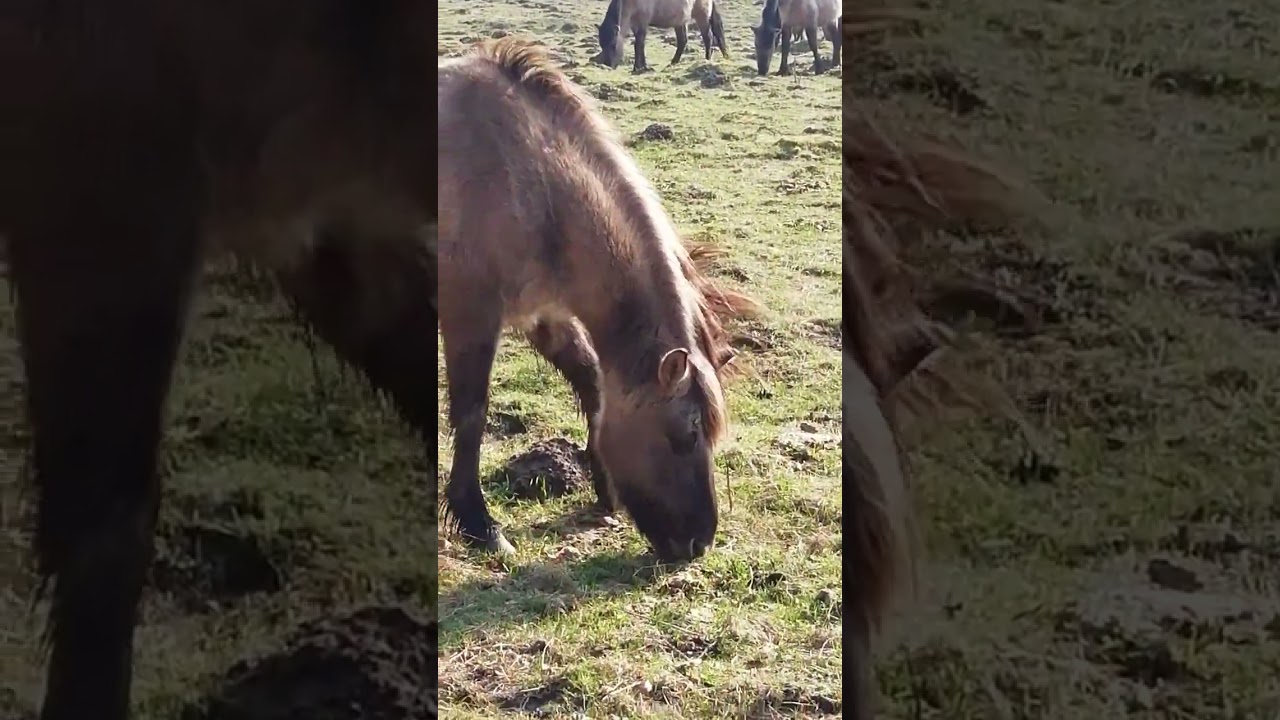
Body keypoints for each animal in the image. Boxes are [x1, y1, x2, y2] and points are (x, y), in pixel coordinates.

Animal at [439, 39, 757, 561]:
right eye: (687, 433)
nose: (697, 543)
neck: (524, 175)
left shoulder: (544, 315)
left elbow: (590, 382)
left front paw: (604, 489)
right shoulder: (471, 315)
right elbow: (471, 414)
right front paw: (479, 524)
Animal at [597, 0, 729, 72]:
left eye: (613, 45)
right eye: (601, 45)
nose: (608, 65)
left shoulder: (642, 23)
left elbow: (639, 44)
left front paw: (637, 68)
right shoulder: (635, 24)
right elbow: (640, 45)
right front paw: (643, 66)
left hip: (701, 17)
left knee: (708, 37)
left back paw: (707, 60)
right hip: (680, 22)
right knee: (682, 41)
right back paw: (673, 63)